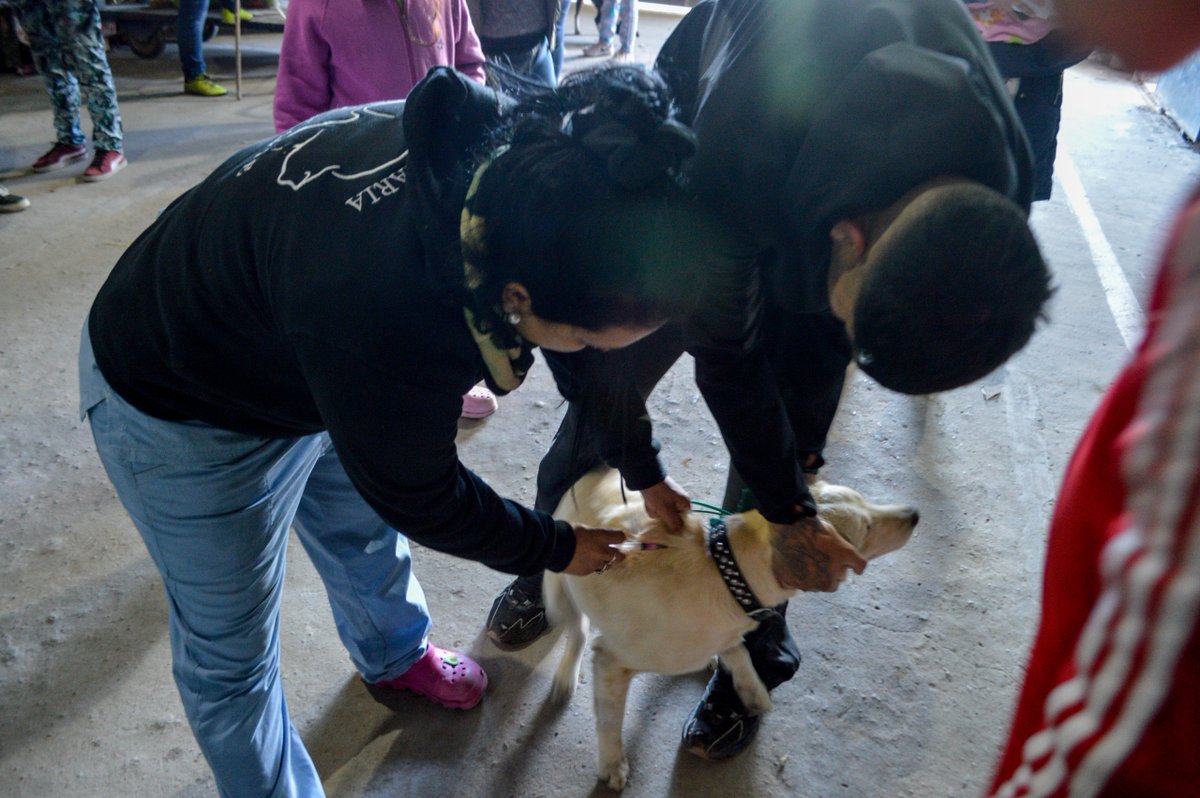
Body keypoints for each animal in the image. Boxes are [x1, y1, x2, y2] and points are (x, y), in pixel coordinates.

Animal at [544, 470, 916, 787]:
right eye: (866, 528)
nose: (914, 513)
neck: (724, 574)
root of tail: (597, 473)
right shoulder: (611, 661)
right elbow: (610, 722)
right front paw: (611, 765)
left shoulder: (727, 629)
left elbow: (739, 652)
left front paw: (752, 691)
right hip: (558, 589)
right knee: (577, 628)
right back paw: (565, 675)